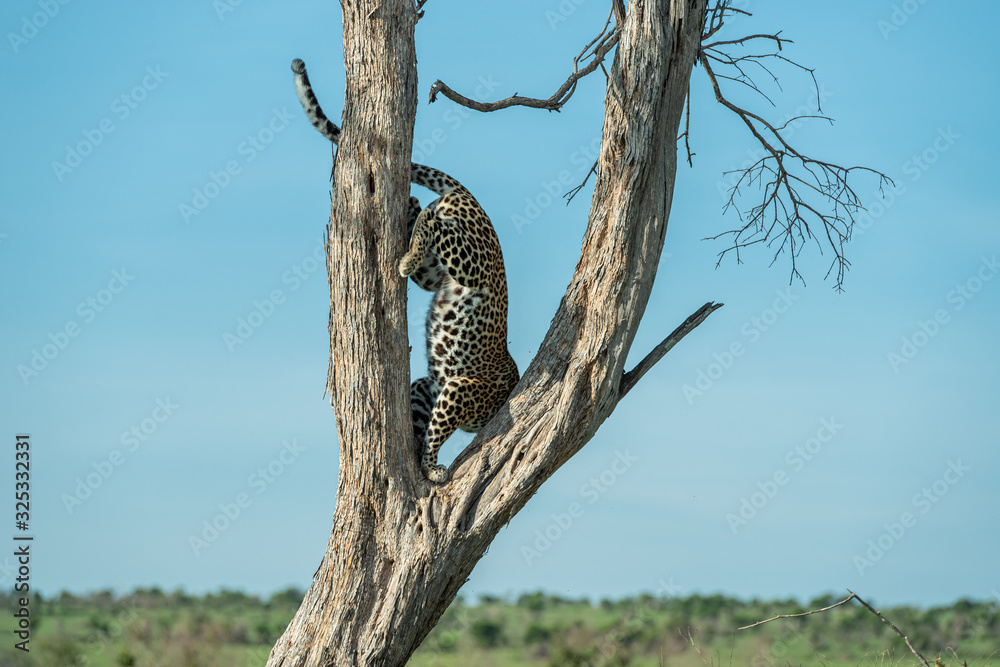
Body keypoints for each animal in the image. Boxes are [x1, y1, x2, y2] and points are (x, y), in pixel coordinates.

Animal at [292, 59, 519, 483]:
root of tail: (469, 197)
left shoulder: (439, 388)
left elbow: (428, 428)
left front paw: (423, 461)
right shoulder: (458, 388)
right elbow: (435, 433)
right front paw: (432, 469)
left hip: (442, 279)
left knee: (423, 220)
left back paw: (410, 224)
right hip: (470, 266)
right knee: (432, 219)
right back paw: (409, 249)